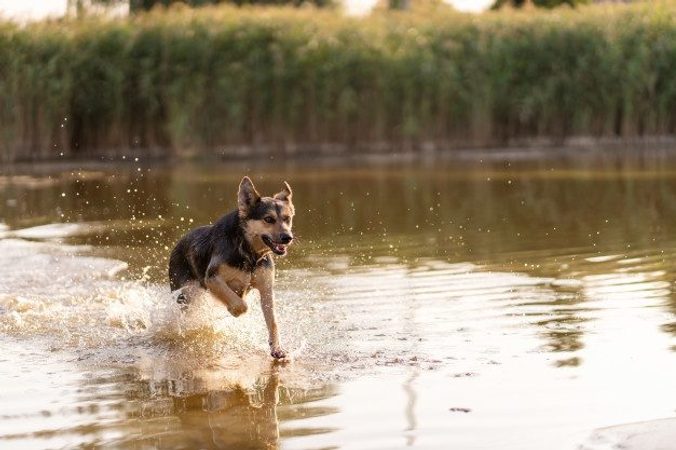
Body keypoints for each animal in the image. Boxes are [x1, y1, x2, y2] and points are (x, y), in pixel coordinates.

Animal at [168, 176, 294, 358]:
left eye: (287, 218)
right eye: (268, 219)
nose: (288, 237)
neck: (249, 252)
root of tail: (178, 243)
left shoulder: (266, 289)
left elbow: (273, 322)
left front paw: (276, 348)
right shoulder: (212, 279)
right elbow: (241, 304)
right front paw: (234, 310)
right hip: (188, 293)